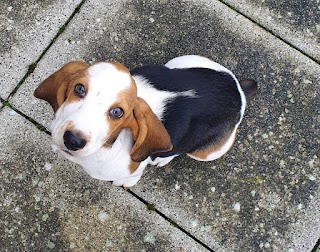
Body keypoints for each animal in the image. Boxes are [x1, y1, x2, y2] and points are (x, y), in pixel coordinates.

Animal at [33, 55, 256, 187]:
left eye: (117, 112)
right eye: (79, 89)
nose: (73, 140)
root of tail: (238, 91)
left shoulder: (135, 168)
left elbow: (132, 176)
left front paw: (124, 183)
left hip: (208, 152)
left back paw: (164, 158)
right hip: (181, 62)